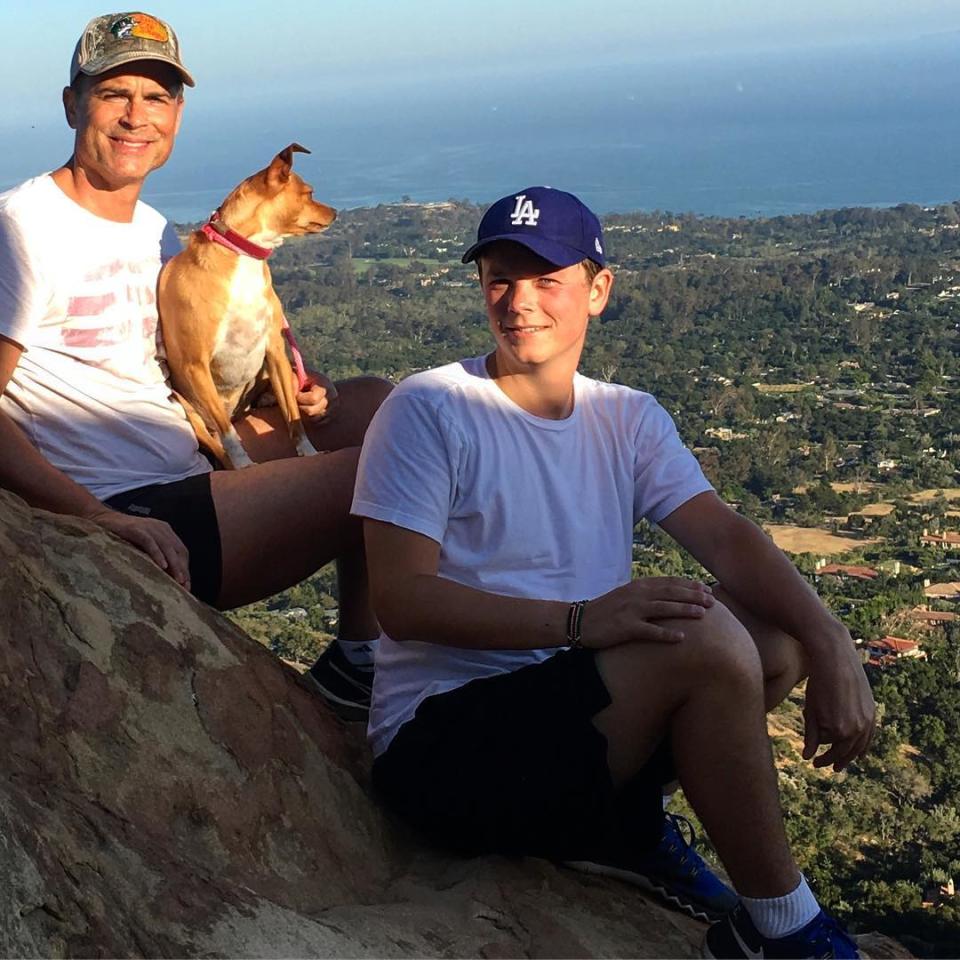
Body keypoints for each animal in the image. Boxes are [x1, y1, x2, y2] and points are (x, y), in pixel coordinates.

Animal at [159, 142, 336, 468]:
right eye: (309, 193)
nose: (336, 212)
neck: (242, 256)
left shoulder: (275, 350)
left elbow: (294, 419)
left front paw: (309, 452)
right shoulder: (195, 365)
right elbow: (229, 438)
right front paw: (244, 465)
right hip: (186, 407)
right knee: (219, 445)